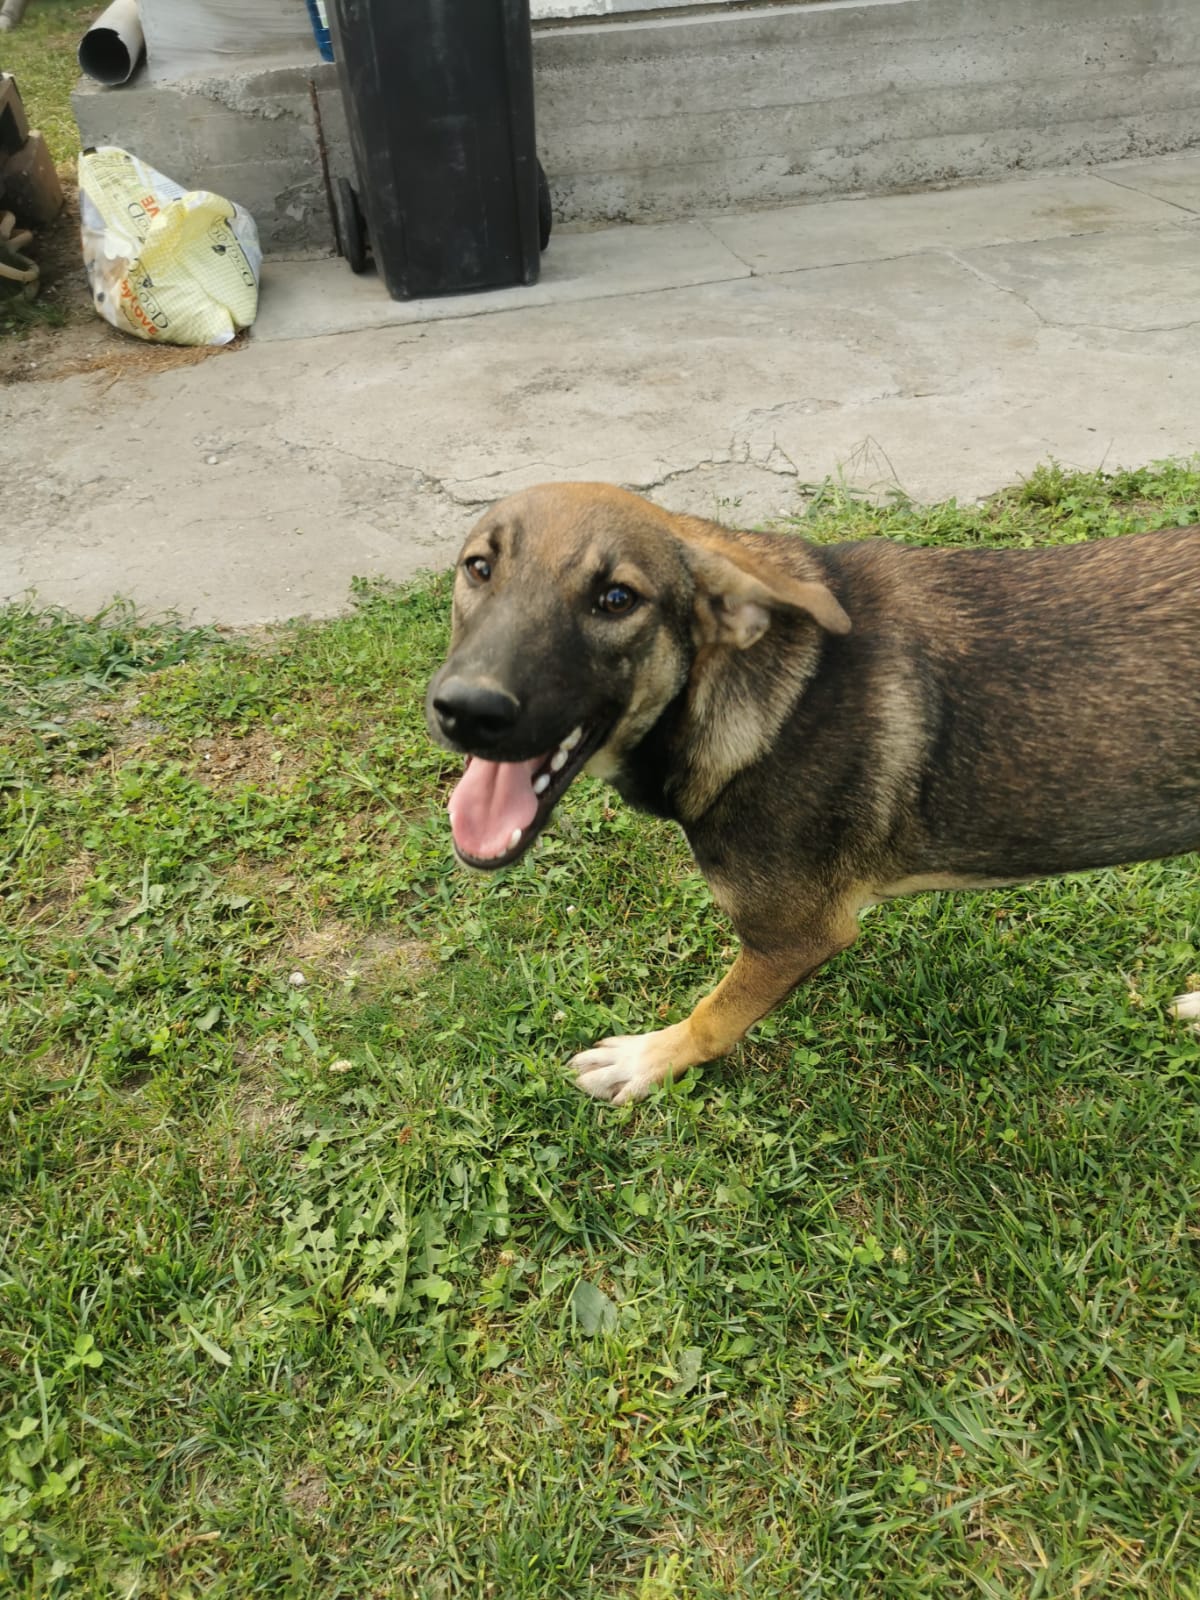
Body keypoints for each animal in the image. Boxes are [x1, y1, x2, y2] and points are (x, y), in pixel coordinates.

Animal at [426, 482, 1200, 1105]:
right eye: (479, 567)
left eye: (617, 599)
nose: (467, 710)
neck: (732, 691)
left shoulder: (795, 937)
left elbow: (714, 1016)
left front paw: (650, 1060)